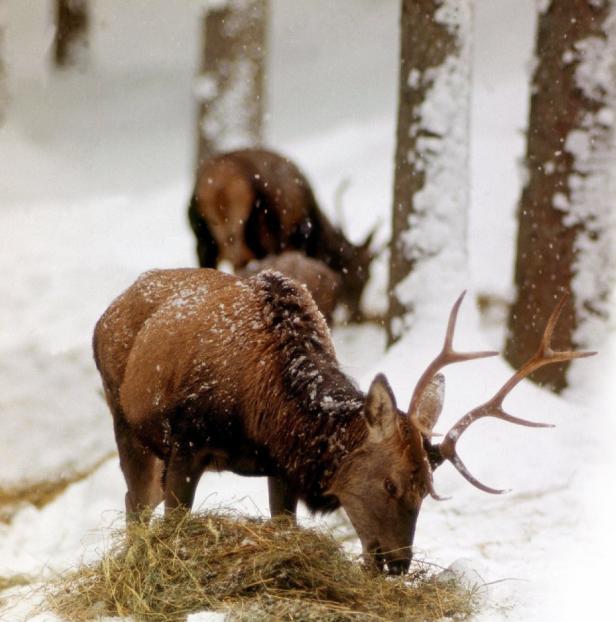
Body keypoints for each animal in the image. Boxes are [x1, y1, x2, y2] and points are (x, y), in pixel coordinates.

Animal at [92, 270, 592, 576]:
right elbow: (174, 525)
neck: (264, 412)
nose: (398, 563)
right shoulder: (189, 441)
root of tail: (110, 308)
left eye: (429, 488)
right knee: (135, 502)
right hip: (124, 418)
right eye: (391, 483)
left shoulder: (281, 466)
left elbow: (283, 525)